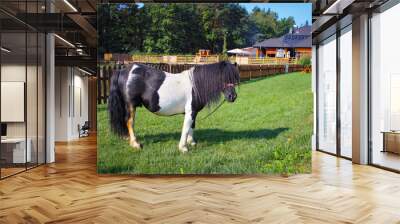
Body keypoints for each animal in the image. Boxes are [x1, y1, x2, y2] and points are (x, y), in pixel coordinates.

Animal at [108, 60, 239, 152]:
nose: (232, 96)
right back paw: (135, 144)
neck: (196, 85)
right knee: (130, 121)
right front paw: (183, 148)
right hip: (131, 105)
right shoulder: (190, 111)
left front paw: (192, 142)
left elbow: (192, 126)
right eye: (223, 77)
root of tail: (123, 71)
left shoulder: (194, 111)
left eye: (234, 78)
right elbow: (186, 128)